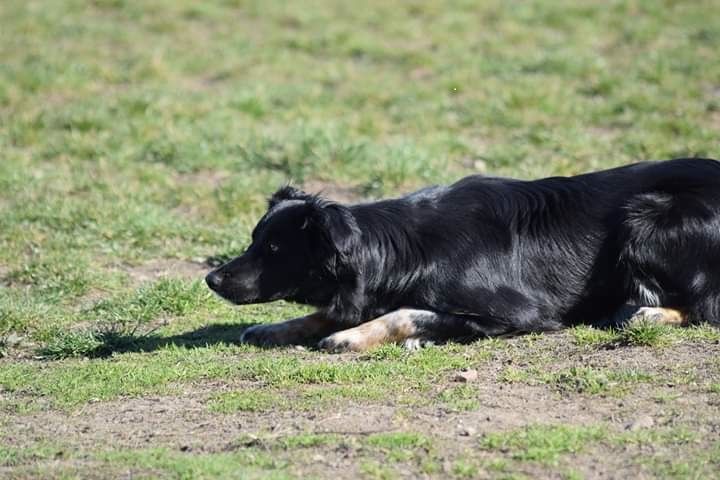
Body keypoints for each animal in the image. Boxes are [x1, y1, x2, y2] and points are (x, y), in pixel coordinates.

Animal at [205, 159, 720, 350]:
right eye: (254, 240)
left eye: (274, 248)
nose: (211, 279)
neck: (400, 251)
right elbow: (324, 312)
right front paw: (276, 328)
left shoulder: (516, 313)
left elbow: (407, 312)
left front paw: (353, 336)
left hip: (648, 217)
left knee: (704, 306)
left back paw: (645, 313)